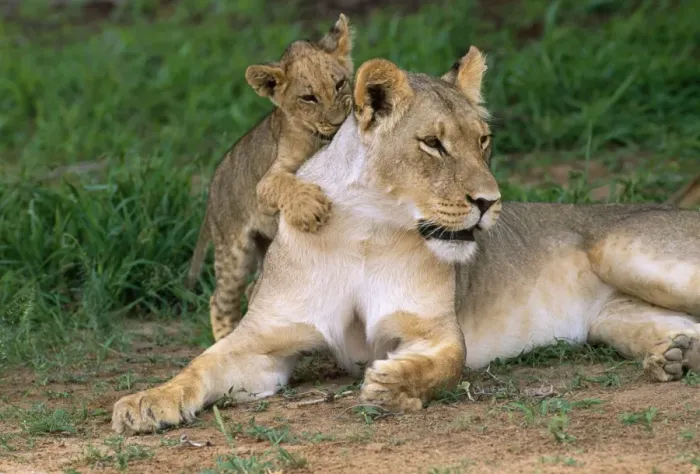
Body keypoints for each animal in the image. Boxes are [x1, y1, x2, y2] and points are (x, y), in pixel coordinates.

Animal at [112, 47, 700, 435]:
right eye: (433, 144)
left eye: (483, 140)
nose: (490, 202)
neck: (366, 231)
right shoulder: (263, 342)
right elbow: (200, 366)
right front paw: (144, 403)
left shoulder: (434, 330)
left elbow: (443, 367)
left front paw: (392, 387)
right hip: (614, 315)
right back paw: (674, 356)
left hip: (626, 252)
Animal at [185, 13, 354, 341]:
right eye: (308, 98)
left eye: (340, 84)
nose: (339, 122)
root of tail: (211, 189)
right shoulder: (266, 181)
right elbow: (282, 183)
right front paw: (309, 209)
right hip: (235, 250)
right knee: (220, 301)